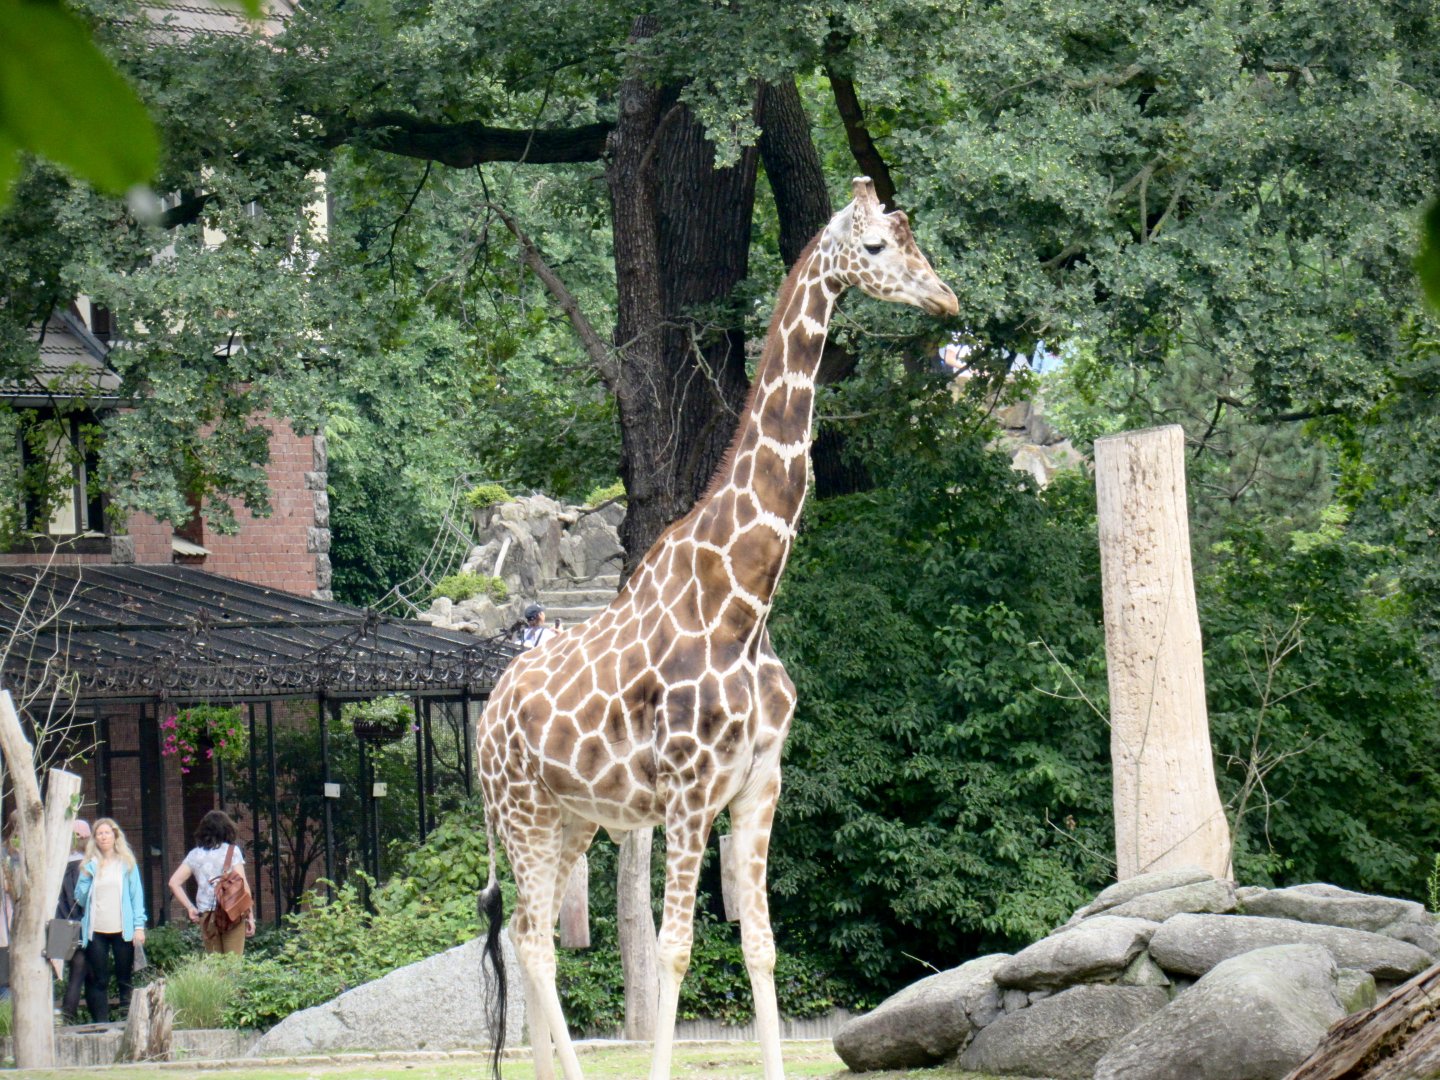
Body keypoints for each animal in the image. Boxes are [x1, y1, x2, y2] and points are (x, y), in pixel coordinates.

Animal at [475, 176, 959, 1080]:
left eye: (916, 240)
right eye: (878, 247)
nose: (945, 298)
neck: (748, 602)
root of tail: (483, 720)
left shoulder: (762, 780)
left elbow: (761, 945)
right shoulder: (689, 788)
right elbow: (674, 948)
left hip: (571, 818)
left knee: (527, 933)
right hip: (520, 810)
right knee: (536, 941)